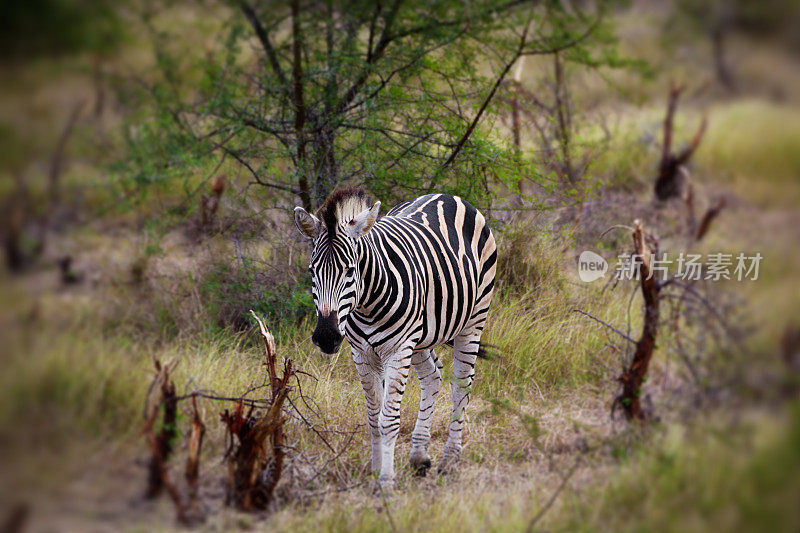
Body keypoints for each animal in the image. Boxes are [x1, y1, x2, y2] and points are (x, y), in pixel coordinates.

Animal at [294, 187, 494, 490]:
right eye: (311, 271)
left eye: (350, 270)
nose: (327, 337)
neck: (366, 305)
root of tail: (447, 196)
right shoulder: (362, 353)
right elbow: (373, 417)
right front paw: (376, 473)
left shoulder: (398, 350)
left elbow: (387, 420)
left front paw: (386, 483)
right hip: (421, 334)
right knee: (433, 375)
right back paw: (419, 456)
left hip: (473, 319)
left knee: (461, 385)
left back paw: (449, 461)